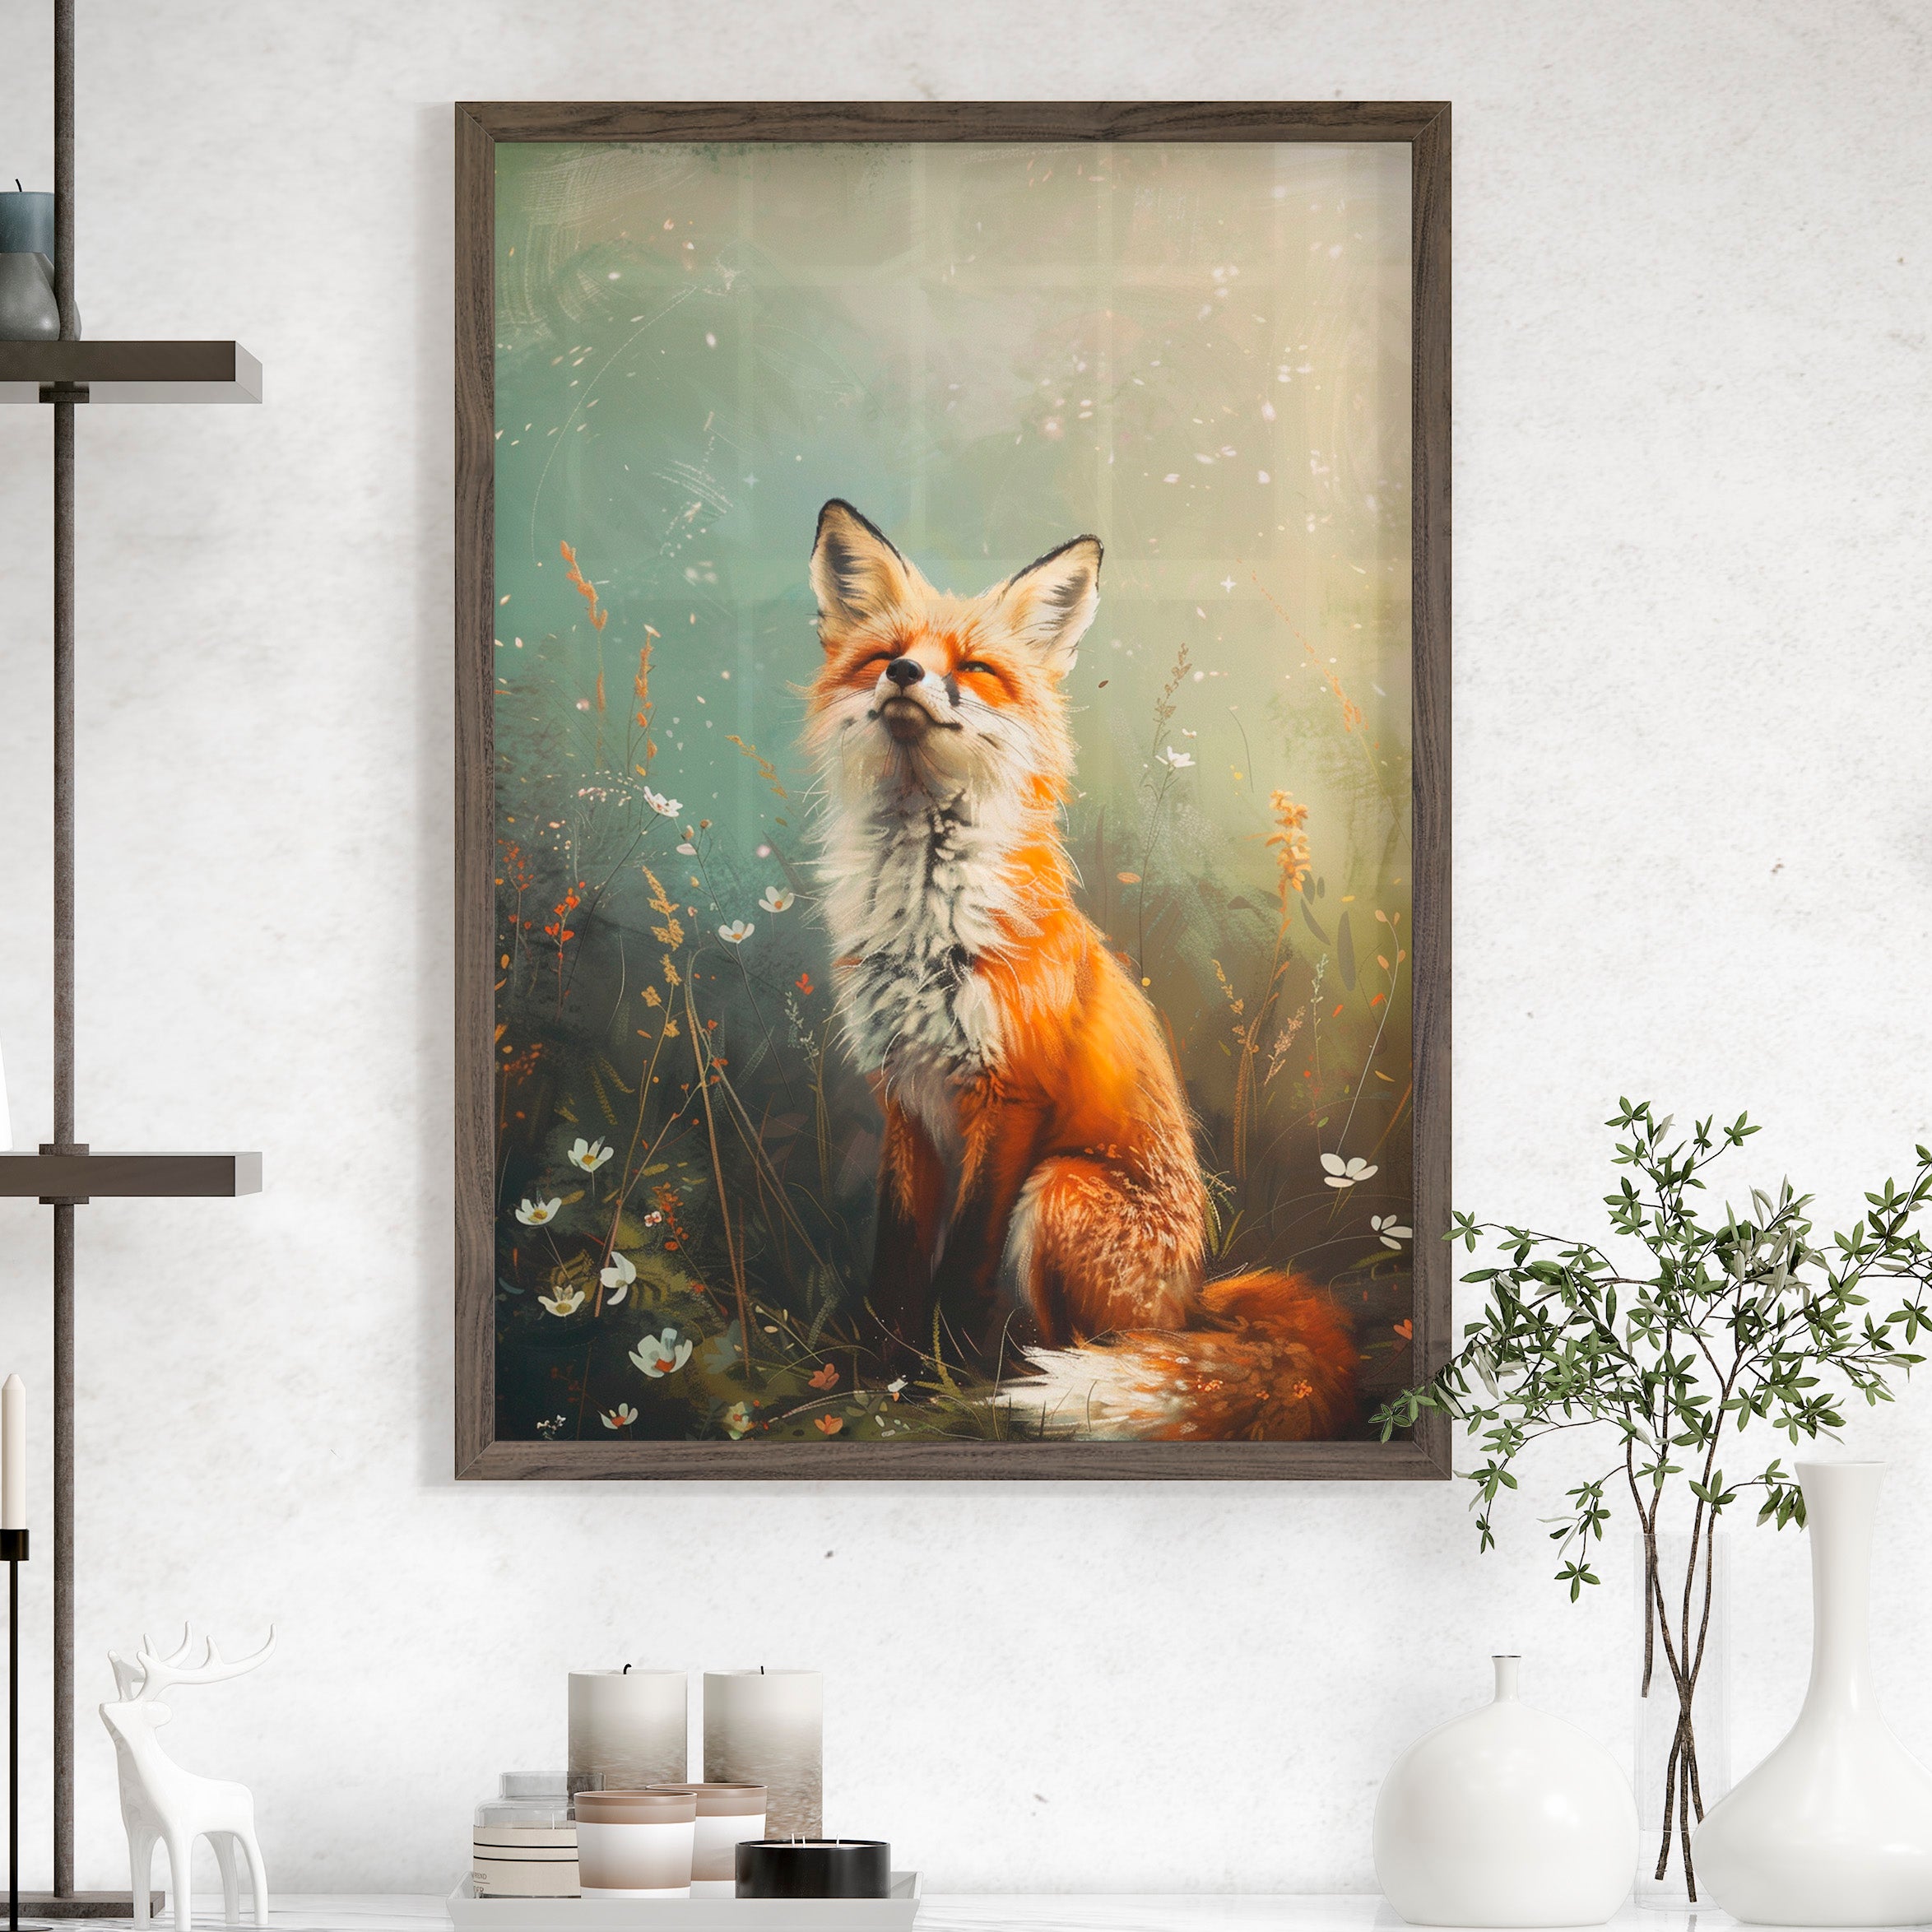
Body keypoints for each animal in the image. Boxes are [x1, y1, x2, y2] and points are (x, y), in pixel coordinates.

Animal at [802, 499, 1357, 1442]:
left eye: (975, 669)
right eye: (885, 655)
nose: (907, 675)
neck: (924, 914)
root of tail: (1191, 1302)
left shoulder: (1010, 1094)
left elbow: (961, 1265)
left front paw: (942, 1382)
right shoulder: (903, 1095)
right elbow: (897, 1256)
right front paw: (881, 1373)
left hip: (1059, 1187)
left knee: (1095, 1347)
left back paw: (1039, 1380)